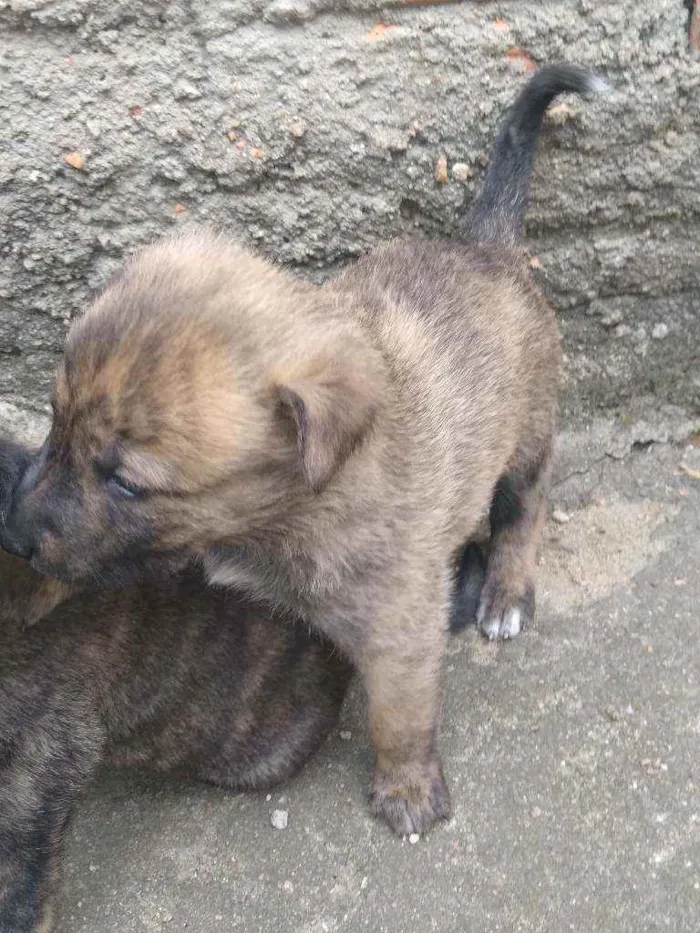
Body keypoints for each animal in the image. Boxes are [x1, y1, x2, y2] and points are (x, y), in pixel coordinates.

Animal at [0, 67, 604, 836]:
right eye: (54, 422)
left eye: (128, 483)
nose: (13, 534)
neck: (291, 511)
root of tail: (484, 247)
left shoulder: (400, 622)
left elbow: (400, 713)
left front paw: (407, 785)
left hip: (528, 433)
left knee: (526, 508)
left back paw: (505, 592)